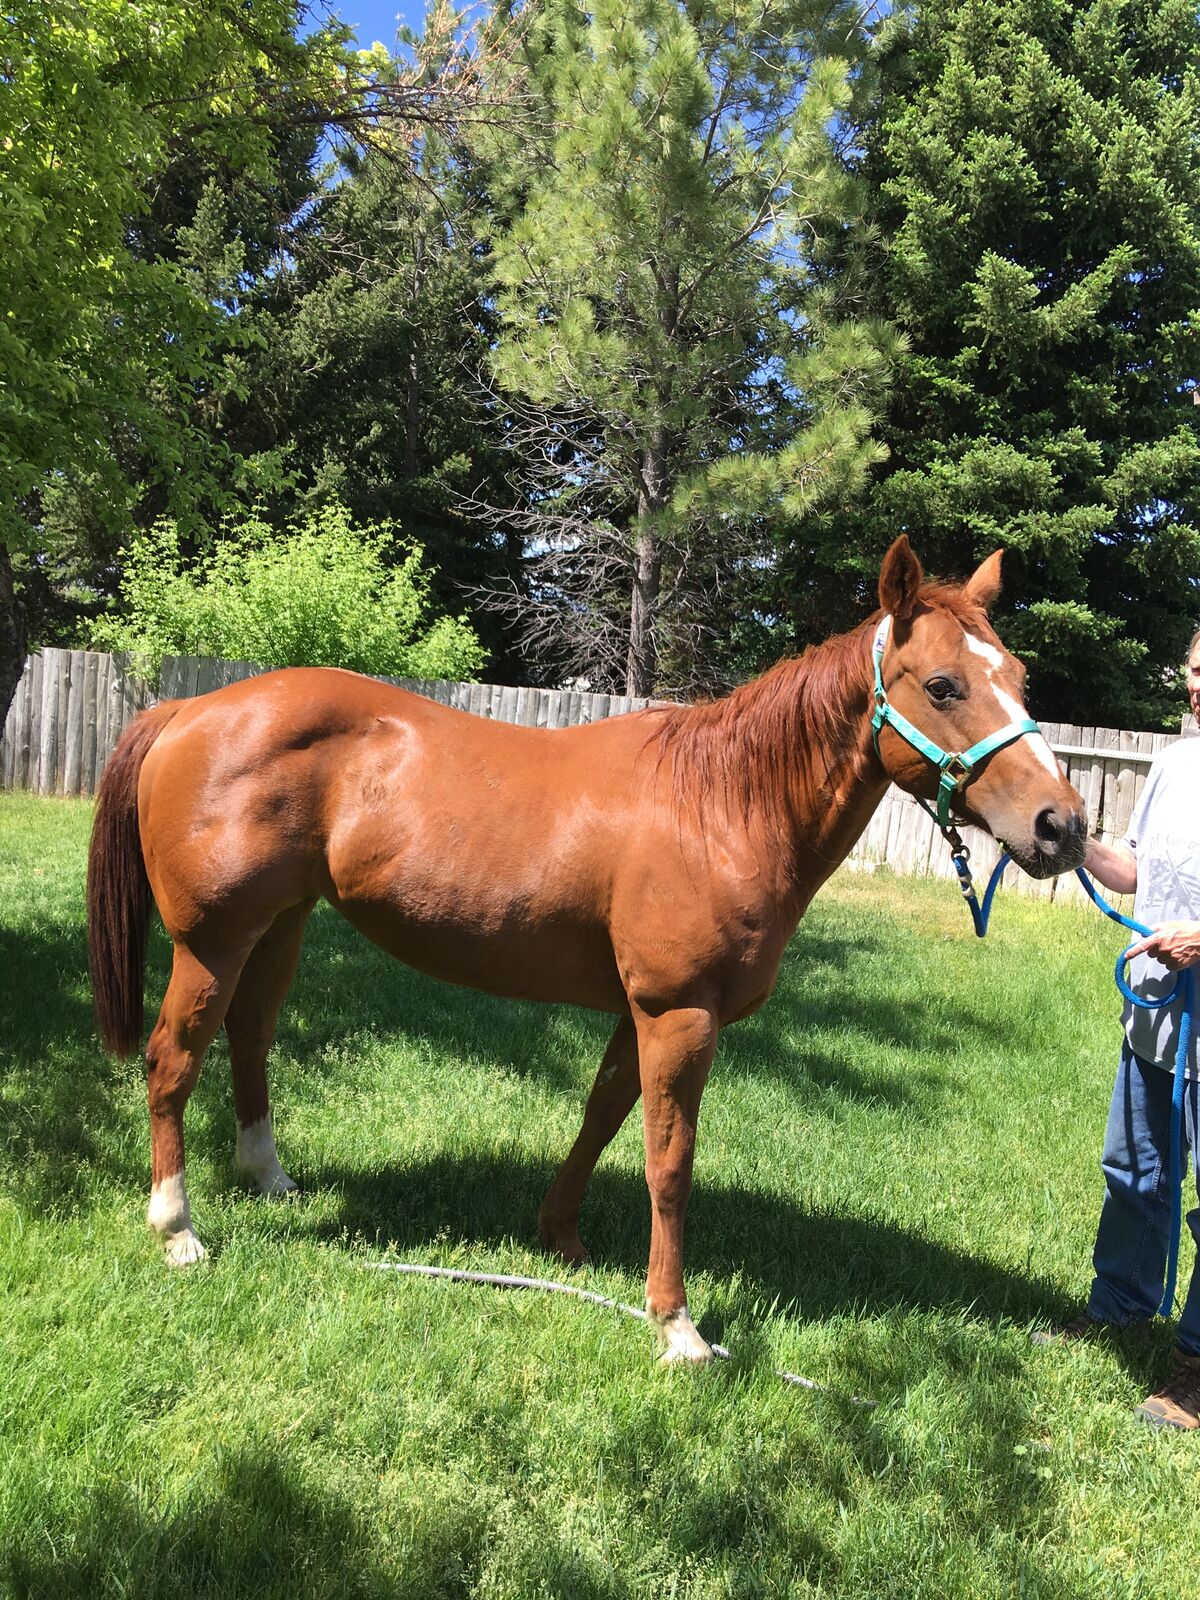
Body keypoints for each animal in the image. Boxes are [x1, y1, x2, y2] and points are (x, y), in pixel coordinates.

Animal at [87, 536, 1087, 1362]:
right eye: (944, 686)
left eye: (1020, 676)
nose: (1062, 826)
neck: (720, 804)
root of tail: (190, 708)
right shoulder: (678, 1014)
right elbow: (669, 1164)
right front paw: (676, 1324)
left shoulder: (636, 1011)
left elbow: (602, 1119)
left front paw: (559, 1236)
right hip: (212, 941)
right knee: (173, 1060)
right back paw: (178, 1227)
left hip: (282, 924)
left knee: (250, 1039)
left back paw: (269, 1178)